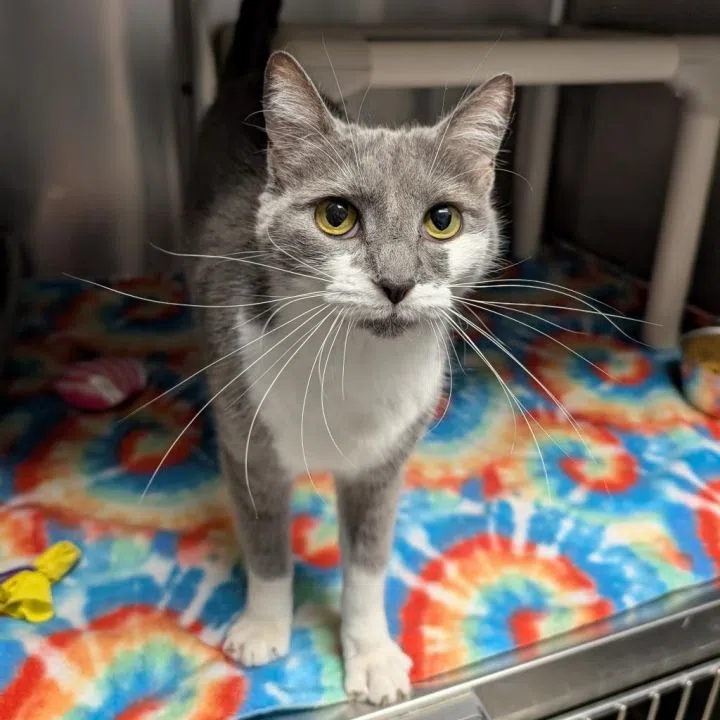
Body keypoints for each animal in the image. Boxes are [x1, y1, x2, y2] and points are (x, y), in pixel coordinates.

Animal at [184, 0, 513, 705]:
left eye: (442, 220)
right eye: (336, 216)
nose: (396, 281)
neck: (354, 365)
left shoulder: (384, 465)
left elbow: (367, 564)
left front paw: (373, 657)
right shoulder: (251, 446)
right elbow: (266, 545)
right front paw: (263, 628)